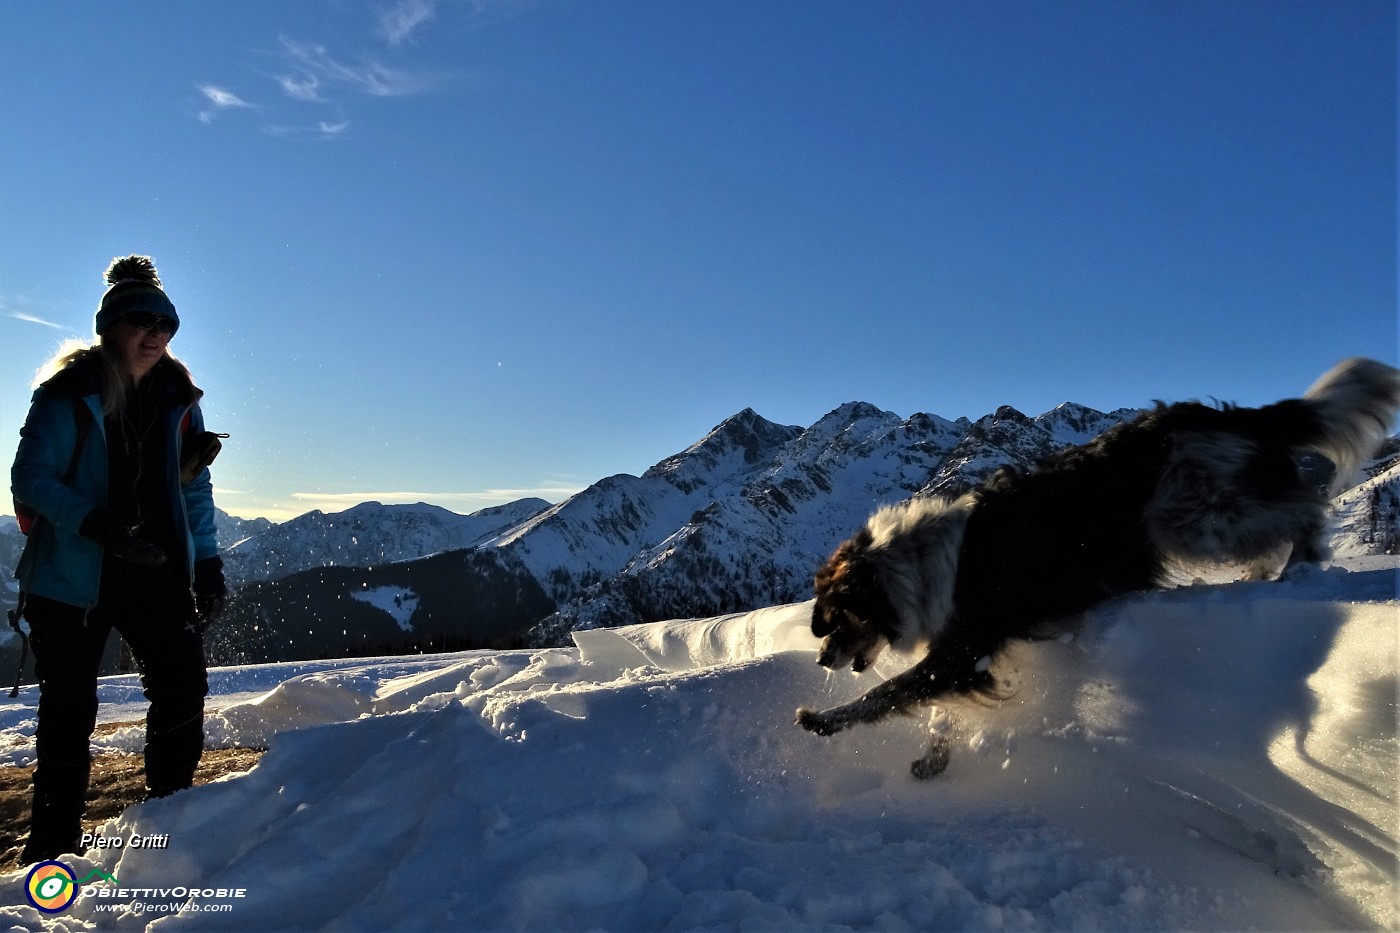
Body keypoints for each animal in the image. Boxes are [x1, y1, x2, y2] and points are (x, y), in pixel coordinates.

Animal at [800, 355, 1400, 767]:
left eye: (836, 616)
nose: (821, 660)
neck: (915, 566)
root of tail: (1230, 416)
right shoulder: (966, 653)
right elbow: (920, 700)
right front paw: (932, 756)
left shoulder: (965, 649)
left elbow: (888, 692)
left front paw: (822, 719)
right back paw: (1261, 575)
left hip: (1192, 515)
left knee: (1306, 507)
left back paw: (1301, 564)